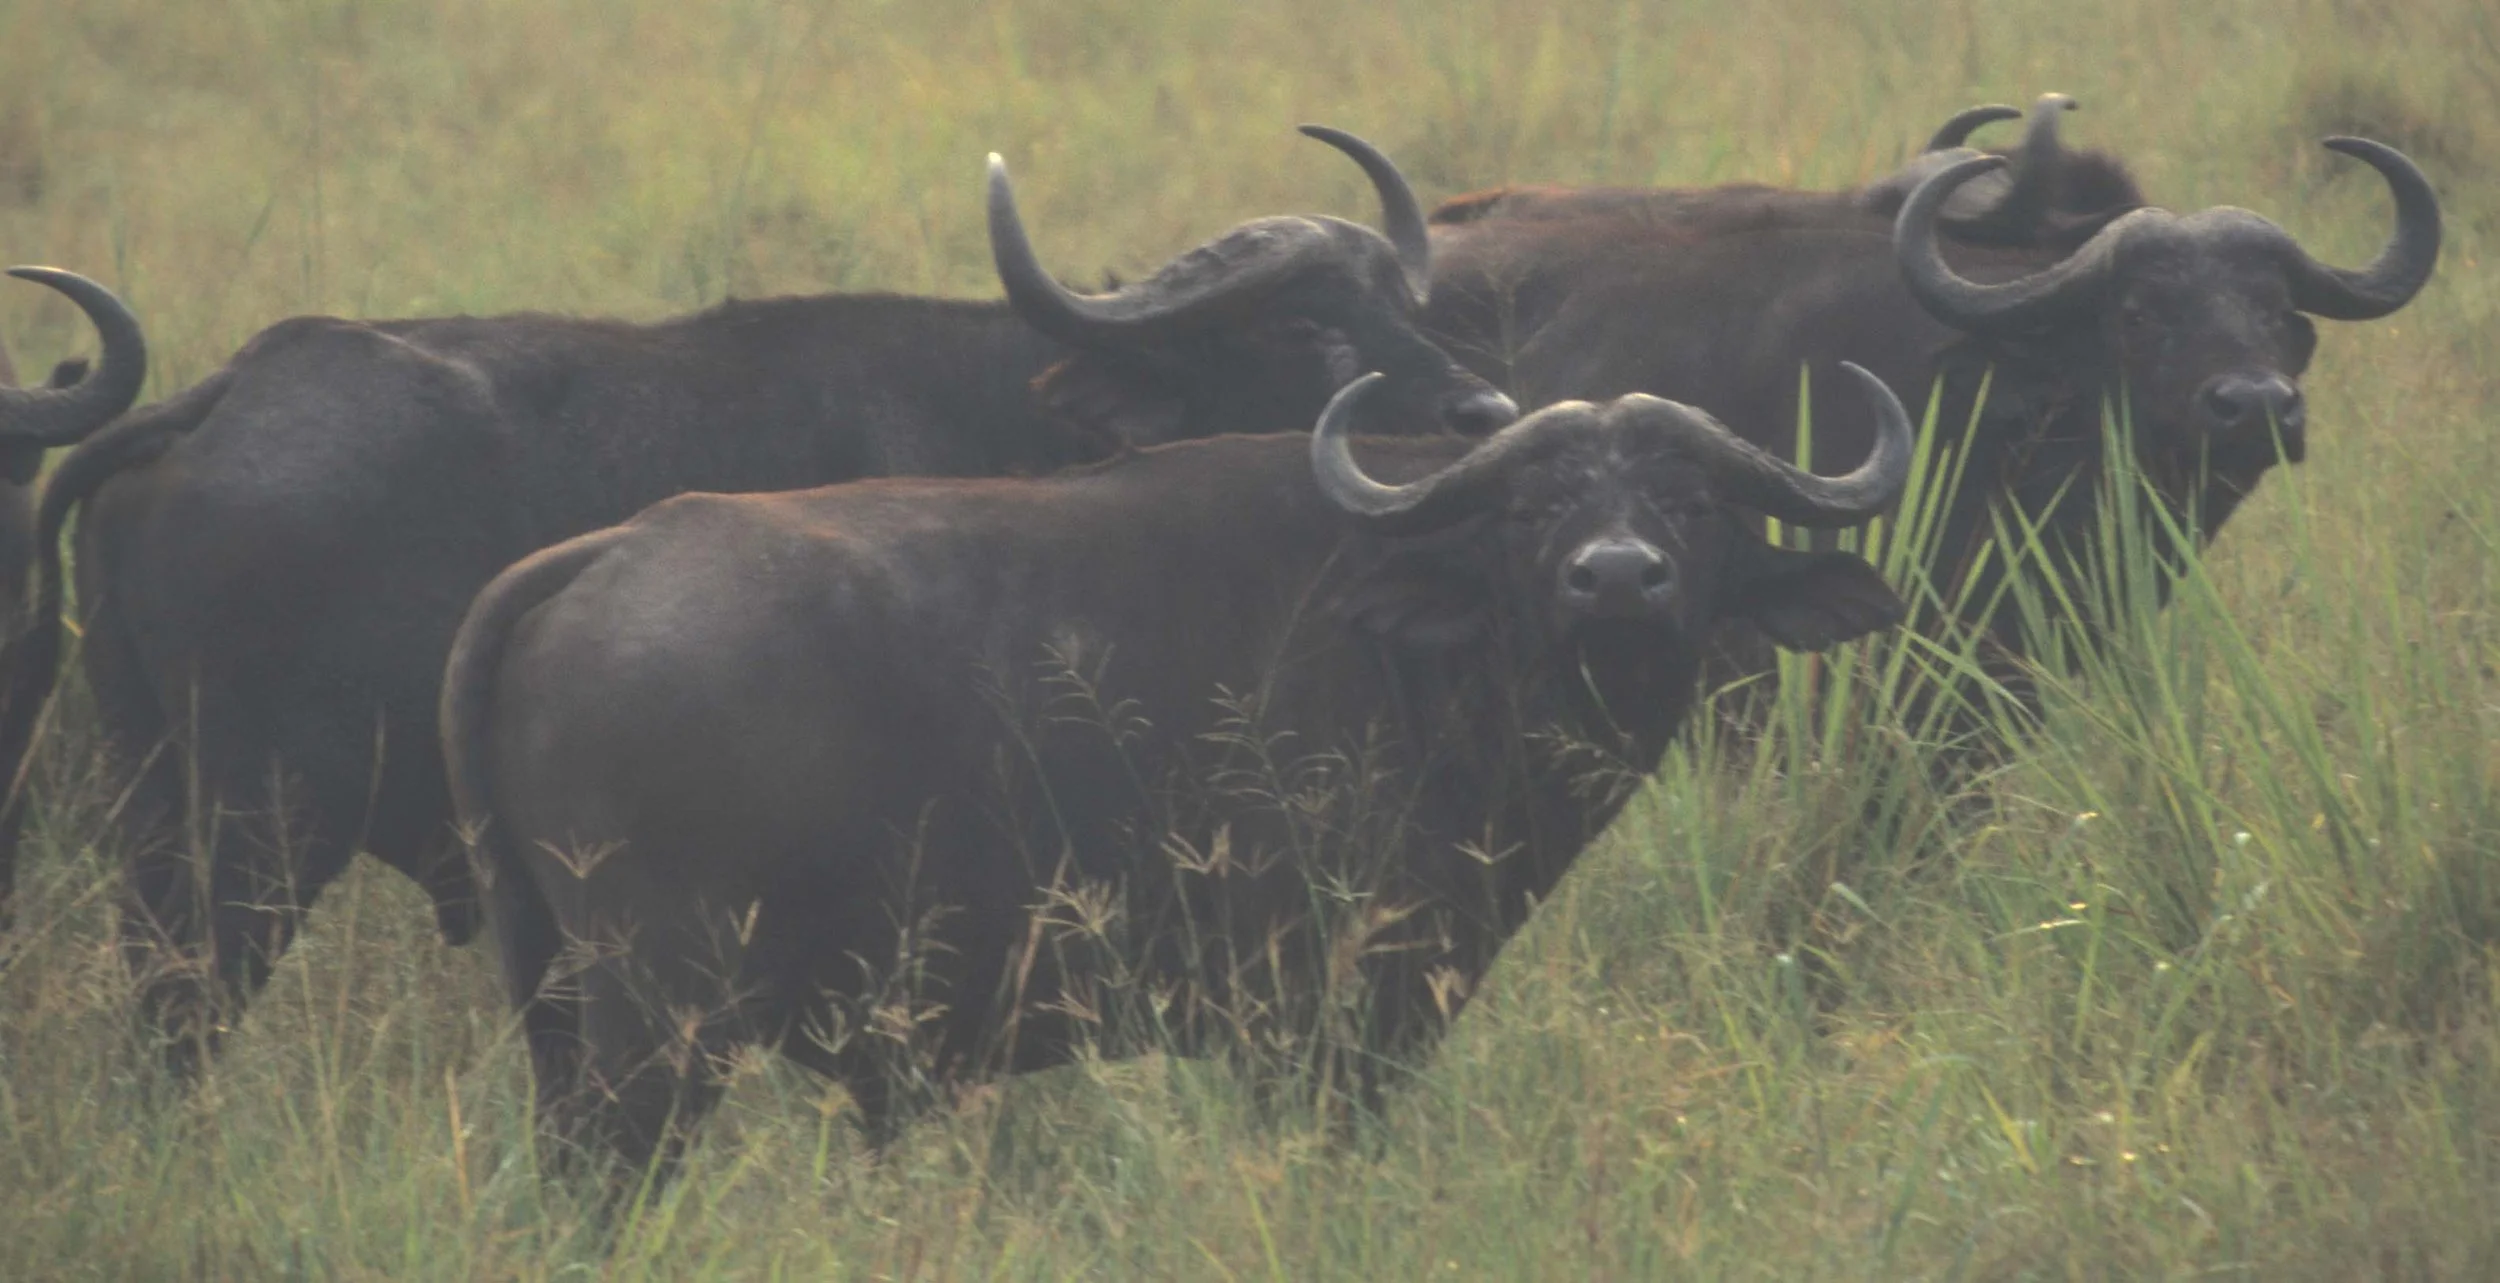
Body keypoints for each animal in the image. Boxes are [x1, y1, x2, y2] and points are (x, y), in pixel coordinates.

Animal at [0, 128, 1516, 1077]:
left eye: (1405, 309)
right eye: (1306, 326)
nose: (1484, 413)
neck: (1007, 414)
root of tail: (219, 396)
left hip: (155, 810)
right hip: (255, 835)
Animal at [440, 364, 1916, 1182]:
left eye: (1691, 499)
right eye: (1535, 503)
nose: (1617, 578)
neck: (1435, 663)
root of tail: (610, 554)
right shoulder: (1318, 1026)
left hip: (557, 1008)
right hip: (657, 1022)